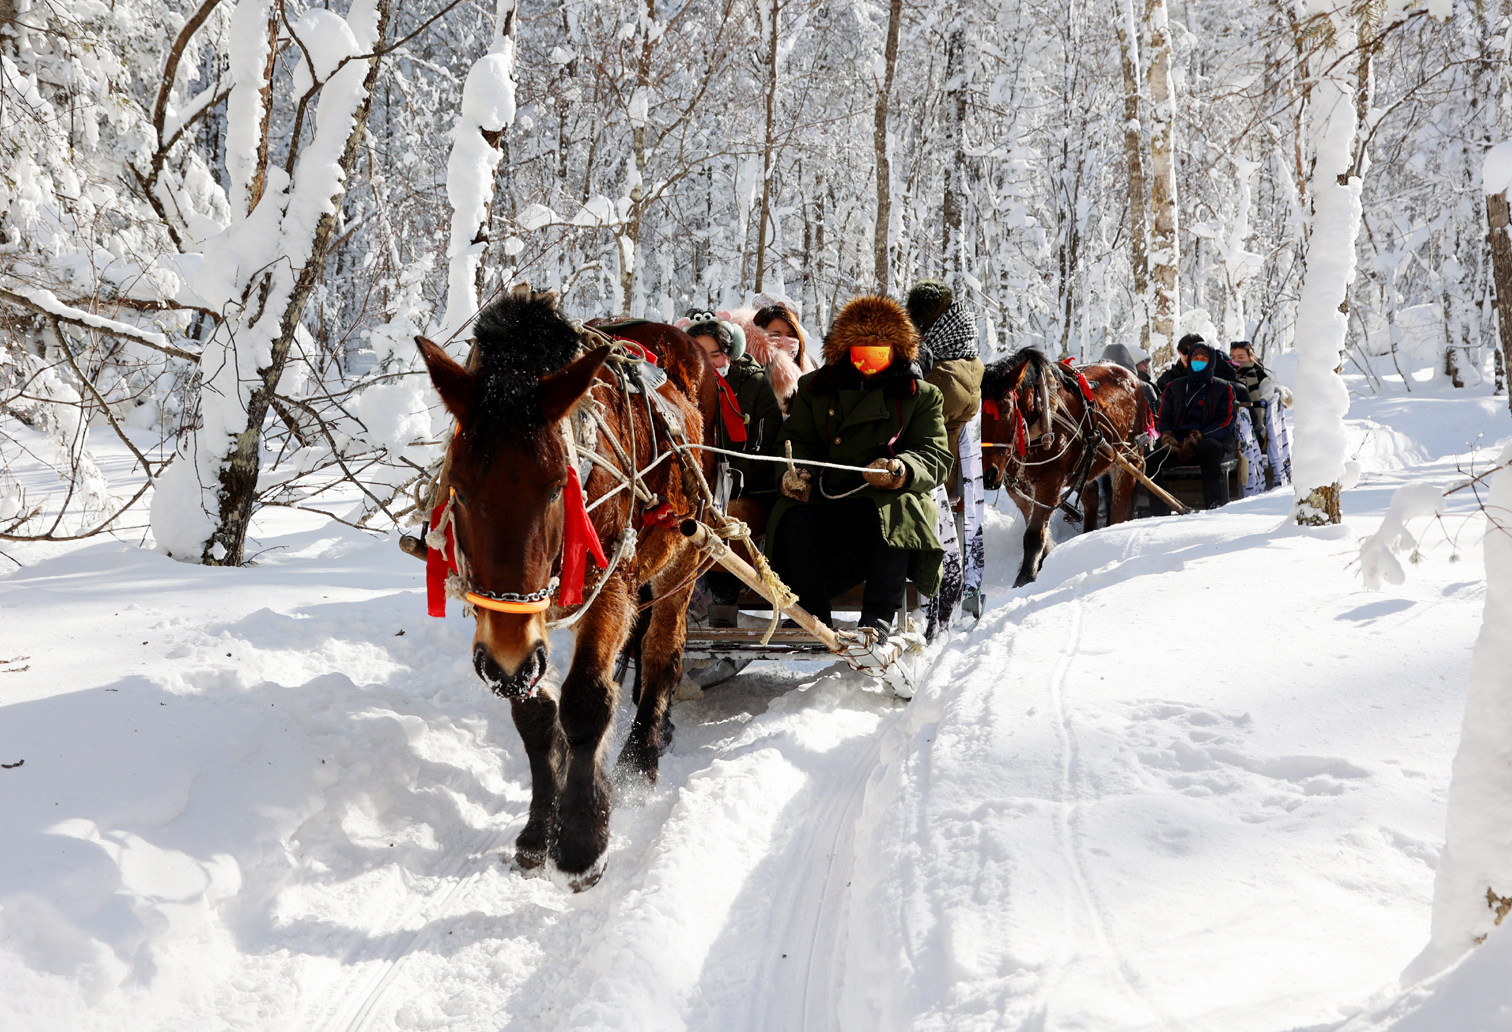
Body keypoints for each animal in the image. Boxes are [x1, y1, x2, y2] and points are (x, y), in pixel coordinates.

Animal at [417, 288, 716, 888]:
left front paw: (583, 840)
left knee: (662, 653)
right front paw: (540, 831)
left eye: (559, 486)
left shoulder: (612, 585)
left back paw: (641, 759)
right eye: (457, 488)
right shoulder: (511, 627)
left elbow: (585, 700)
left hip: (683, 555)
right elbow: (533, 716)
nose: (508, 659)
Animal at [979, 349, 1143, 586]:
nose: (988, 475)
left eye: (1007, 409)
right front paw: (1041, 564)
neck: (1042, 418)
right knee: (1091, 496)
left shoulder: (1050, 483)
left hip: (1128, 457)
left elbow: (1033, 534)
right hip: (1089, 464)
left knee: (1121, 503)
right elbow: (1036, 529)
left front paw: (1024, 578)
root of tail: (1132, 377)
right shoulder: (1018, 487)